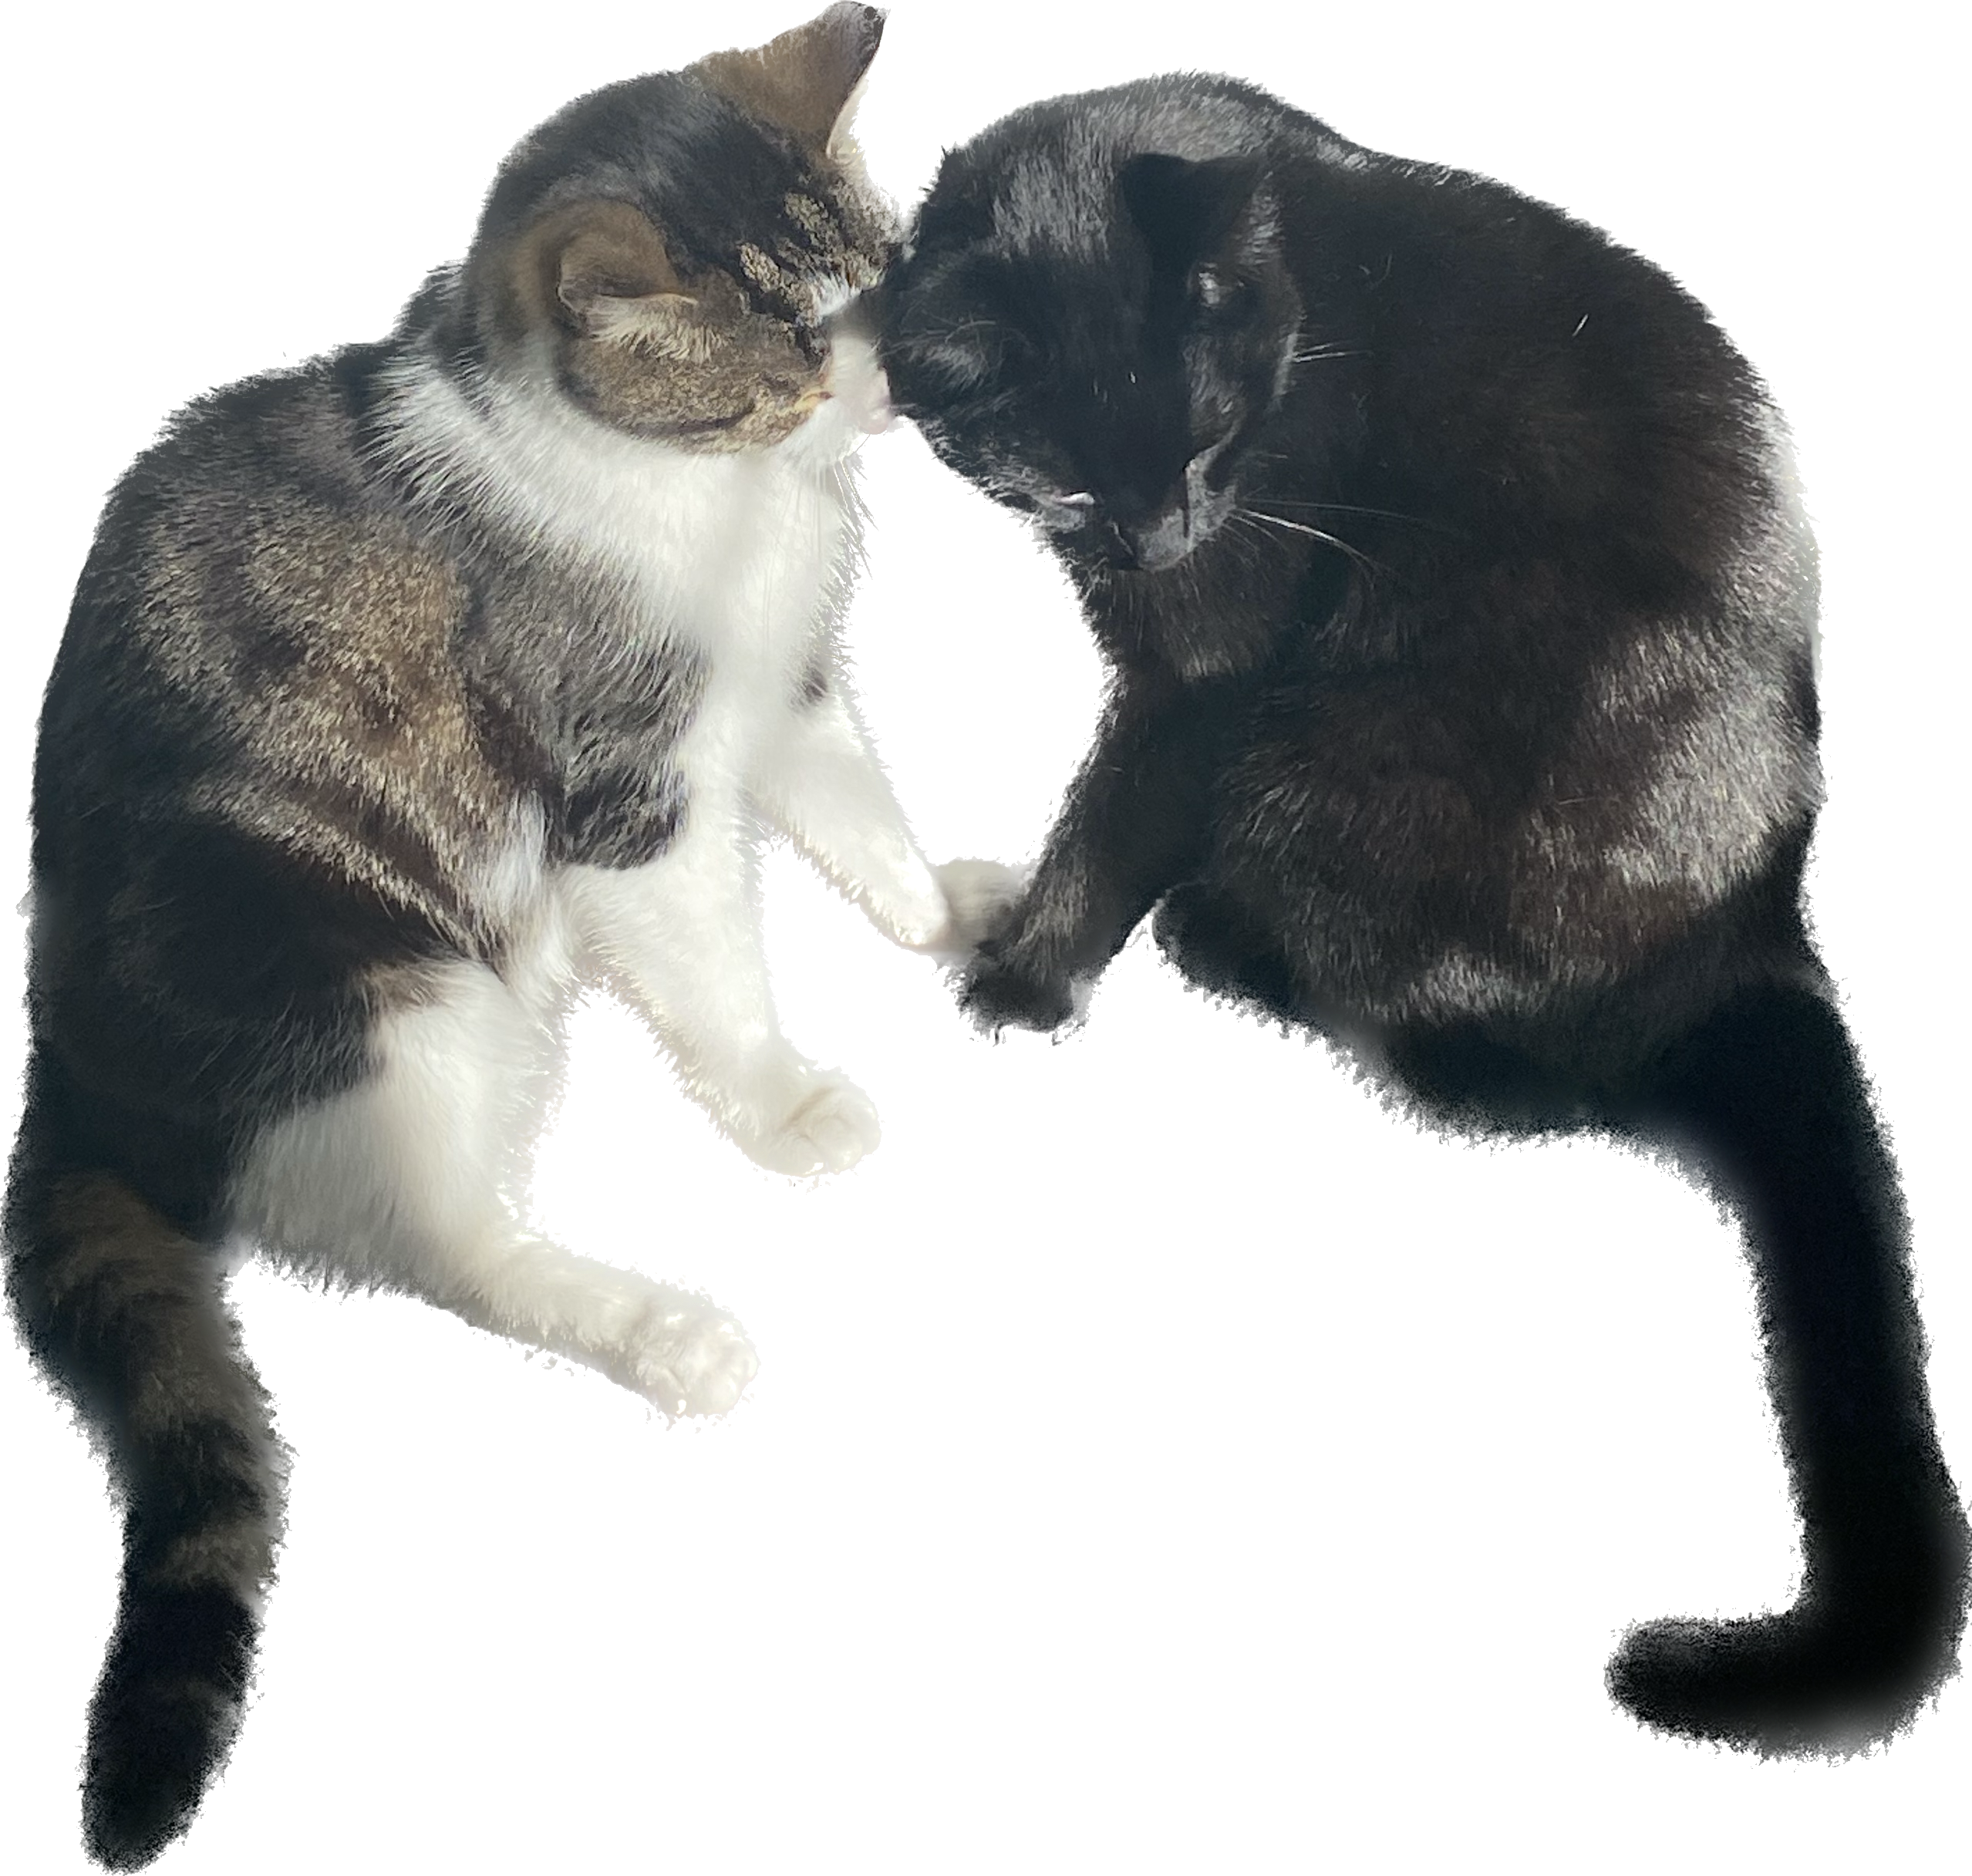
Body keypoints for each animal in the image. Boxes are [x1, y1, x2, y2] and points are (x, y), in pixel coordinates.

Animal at [3, 7, 1033, 1868]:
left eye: (880, 287)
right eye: (787, 352)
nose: (889, 388)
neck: (708, 504)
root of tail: (66, 1089)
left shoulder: (779, 687)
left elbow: (859, 812)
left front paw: (944, 908)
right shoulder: (629, 789)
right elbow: (713, 965)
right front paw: (782, 1100)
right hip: (385, 993)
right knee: (439, 1245)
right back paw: (662, 1331)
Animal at [879, 76, 1972, 1757]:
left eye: (1207, 437)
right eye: (1062, 482)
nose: (1159, 533)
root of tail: (1758, 939)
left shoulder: (1206, 668)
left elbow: (1115, 812)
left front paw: (1022, 977)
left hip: (1334, 770)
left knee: (1480, 1075)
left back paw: (1223, 933)